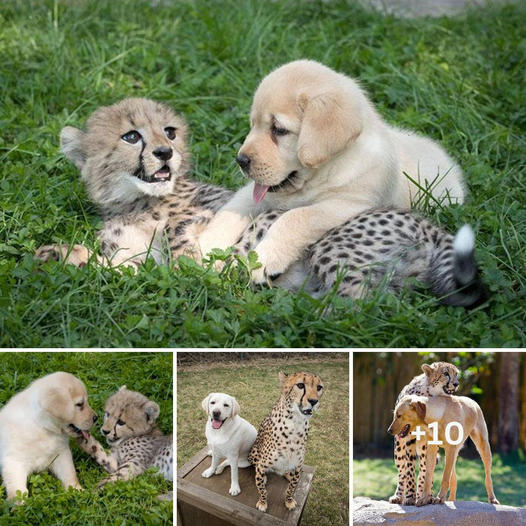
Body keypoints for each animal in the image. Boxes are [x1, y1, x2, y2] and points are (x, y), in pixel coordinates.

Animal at [0, 372, 97, 504]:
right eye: (79, 404)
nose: (96, 418)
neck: (42, 427)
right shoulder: (14, 462)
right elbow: (18, 490)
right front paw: (20, 506)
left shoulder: (61, 454)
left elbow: (69, 474)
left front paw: (77, 491)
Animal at [201, 59, 466, 284]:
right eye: (253, 124)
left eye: (279, 130)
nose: (240, 160)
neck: (323, 173)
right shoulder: (259, 192)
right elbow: (232, 210)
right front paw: (206, 246)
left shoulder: (349, 204)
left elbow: (296, 217)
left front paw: (265, 258)